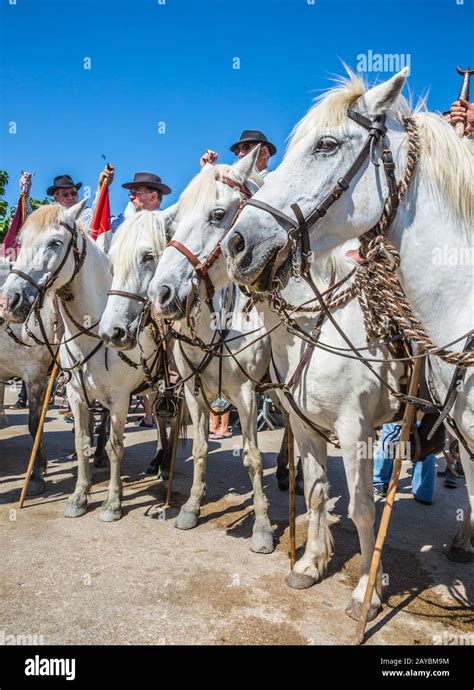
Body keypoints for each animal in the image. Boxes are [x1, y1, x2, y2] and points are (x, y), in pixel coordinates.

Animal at [0, 202, 170, 520]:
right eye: (21, 243)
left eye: (55, 242)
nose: (9, 301)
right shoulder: (76, 394)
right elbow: (81, 443)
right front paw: (80, 495)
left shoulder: (116, 397)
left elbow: (116, 446)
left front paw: (113, 502)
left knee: (166, 419)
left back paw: (163, 464)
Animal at [148, 152, 280, 552]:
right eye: (174, 222)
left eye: (218, 214)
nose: (159, 293)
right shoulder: (194, 394)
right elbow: (201, 449)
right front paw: (191, 507)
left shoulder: (248, 394)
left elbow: (253, 458)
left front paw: (262, 527)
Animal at [224, 68, 474, 564]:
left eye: (326, 144)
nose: (237, 244)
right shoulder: (305, 422)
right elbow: (317, 490)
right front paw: (309, 562)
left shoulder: (355, 426)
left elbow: (361, 509)